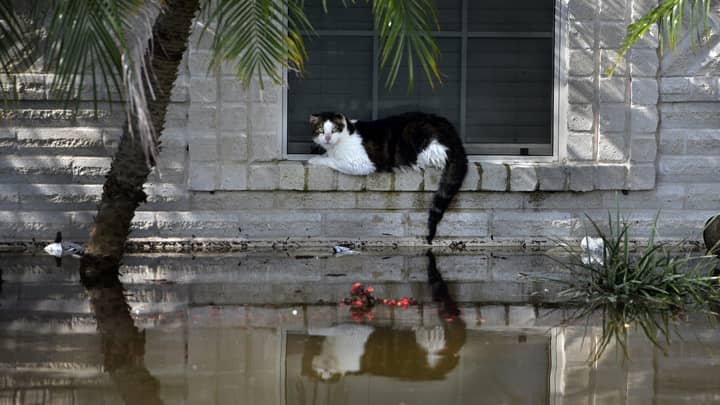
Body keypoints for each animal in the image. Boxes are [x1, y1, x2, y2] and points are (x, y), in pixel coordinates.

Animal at [308, 111, 466, 243]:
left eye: (334, 130)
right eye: (321, 130)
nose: (327, 138)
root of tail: (448, 127)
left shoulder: (360, 163)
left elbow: (332, 160)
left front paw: (314, 160)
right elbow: (328, 155)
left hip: (422, 139)